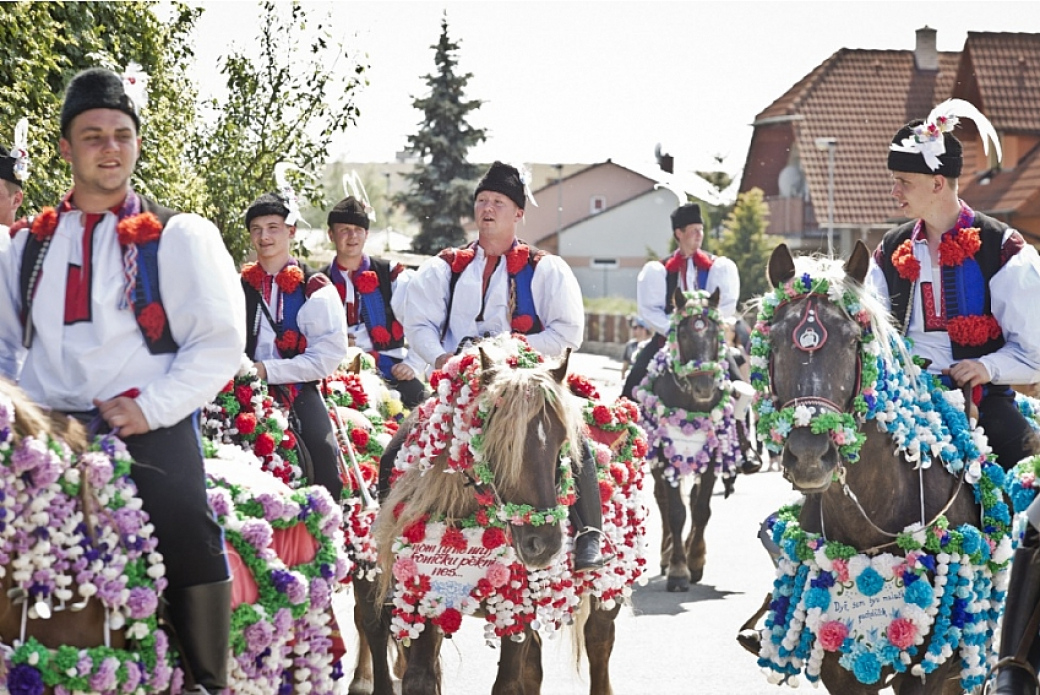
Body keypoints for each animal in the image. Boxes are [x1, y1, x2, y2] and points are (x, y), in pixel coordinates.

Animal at [353, 332, 644, 690]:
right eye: (495, 439)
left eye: (564, 438)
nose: (541, 544)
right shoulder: (419, 596)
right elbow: (420, 678)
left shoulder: (518, 609)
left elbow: (507, 683)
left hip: (609, 586)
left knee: (599, 642)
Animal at [632, 287, 757, 590]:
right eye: (685, 334)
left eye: (715, 333)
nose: (705, 386)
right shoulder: (667, 456)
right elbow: (676, 512)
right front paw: (678, 569)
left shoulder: (711, 454)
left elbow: (700, 509)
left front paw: (696, 559)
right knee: (663, 501)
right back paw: (667, 554)